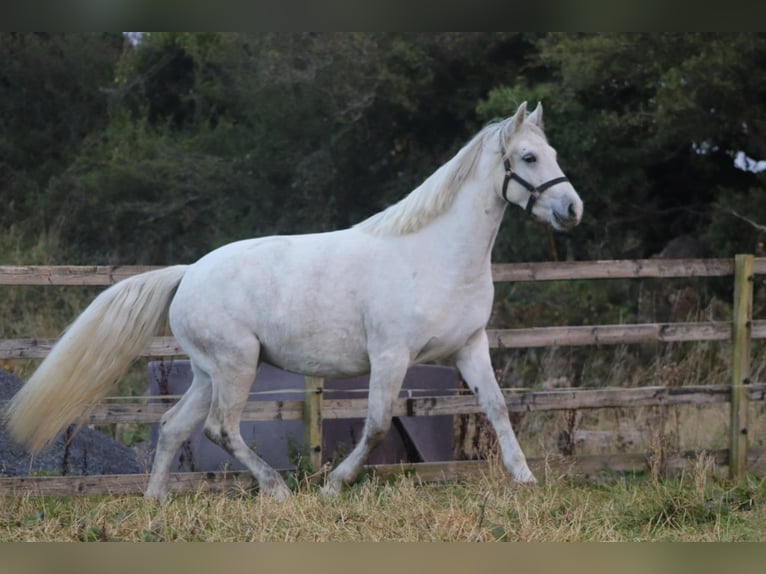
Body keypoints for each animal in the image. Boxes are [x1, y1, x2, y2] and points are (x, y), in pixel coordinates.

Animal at [5, 101, 583, 501]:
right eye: (528, 156)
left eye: (553, 154)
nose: (571, 210)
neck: (436, 254)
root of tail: (188, 274)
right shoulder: (390, 356)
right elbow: (376, 426)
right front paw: (332, 487)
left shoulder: (470, 346)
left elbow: (498, 407)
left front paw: (526, 480)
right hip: (237, 365)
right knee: (220, 428)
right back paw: (278, 491)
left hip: (209, 373)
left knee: (172, 428)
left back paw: (155, 502)